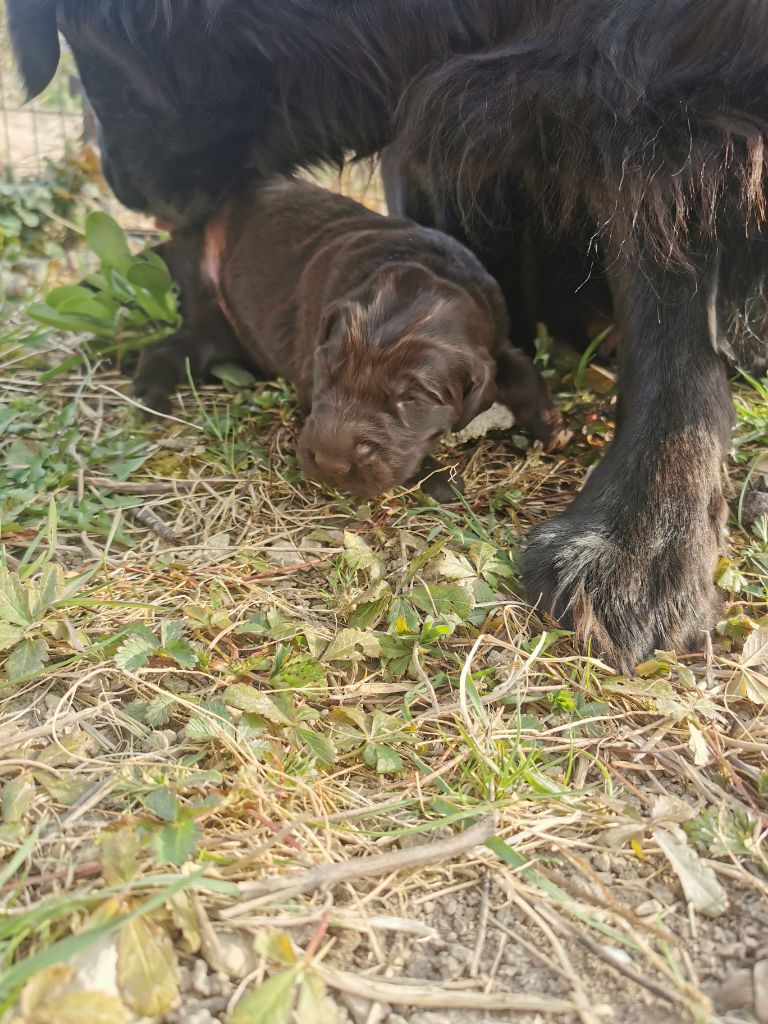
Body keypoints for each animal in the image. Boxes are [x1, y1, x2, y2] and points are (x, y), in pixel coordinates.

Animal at [132, 180, 569, 499]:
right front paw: (439, 477)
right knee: (166, 350)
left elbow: (521, 369)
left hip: (220, 327)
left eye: (412, 397)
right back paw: (149, 397)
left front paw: (553, 424)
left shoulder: (494, 336)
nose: (330, 463)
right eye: (328, 370)